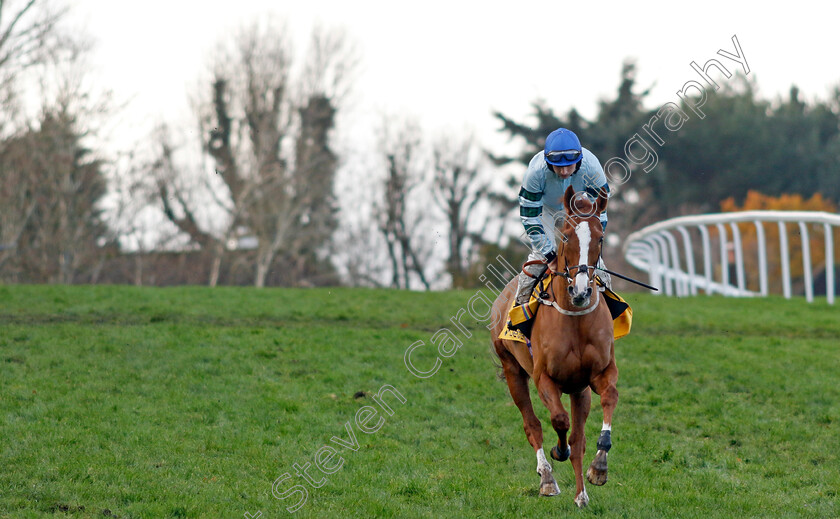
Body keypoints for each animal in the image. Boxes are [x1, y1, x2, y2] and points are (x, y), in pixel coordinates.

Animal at [488, 186, 620, 508]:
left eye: (600, 237)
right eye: (566, 236)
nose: (581, 290)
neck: (575, 318)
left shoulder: (599, 373)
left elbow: (608, 400)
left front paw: (599, 467)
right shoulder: (543, 378)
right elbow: (558, 420)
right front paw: (558, 453)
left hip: (579, 389)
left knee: (578, 437)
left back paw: (581, 495)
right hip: (512, 371)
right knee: (532, 425)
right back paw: (547, 479)